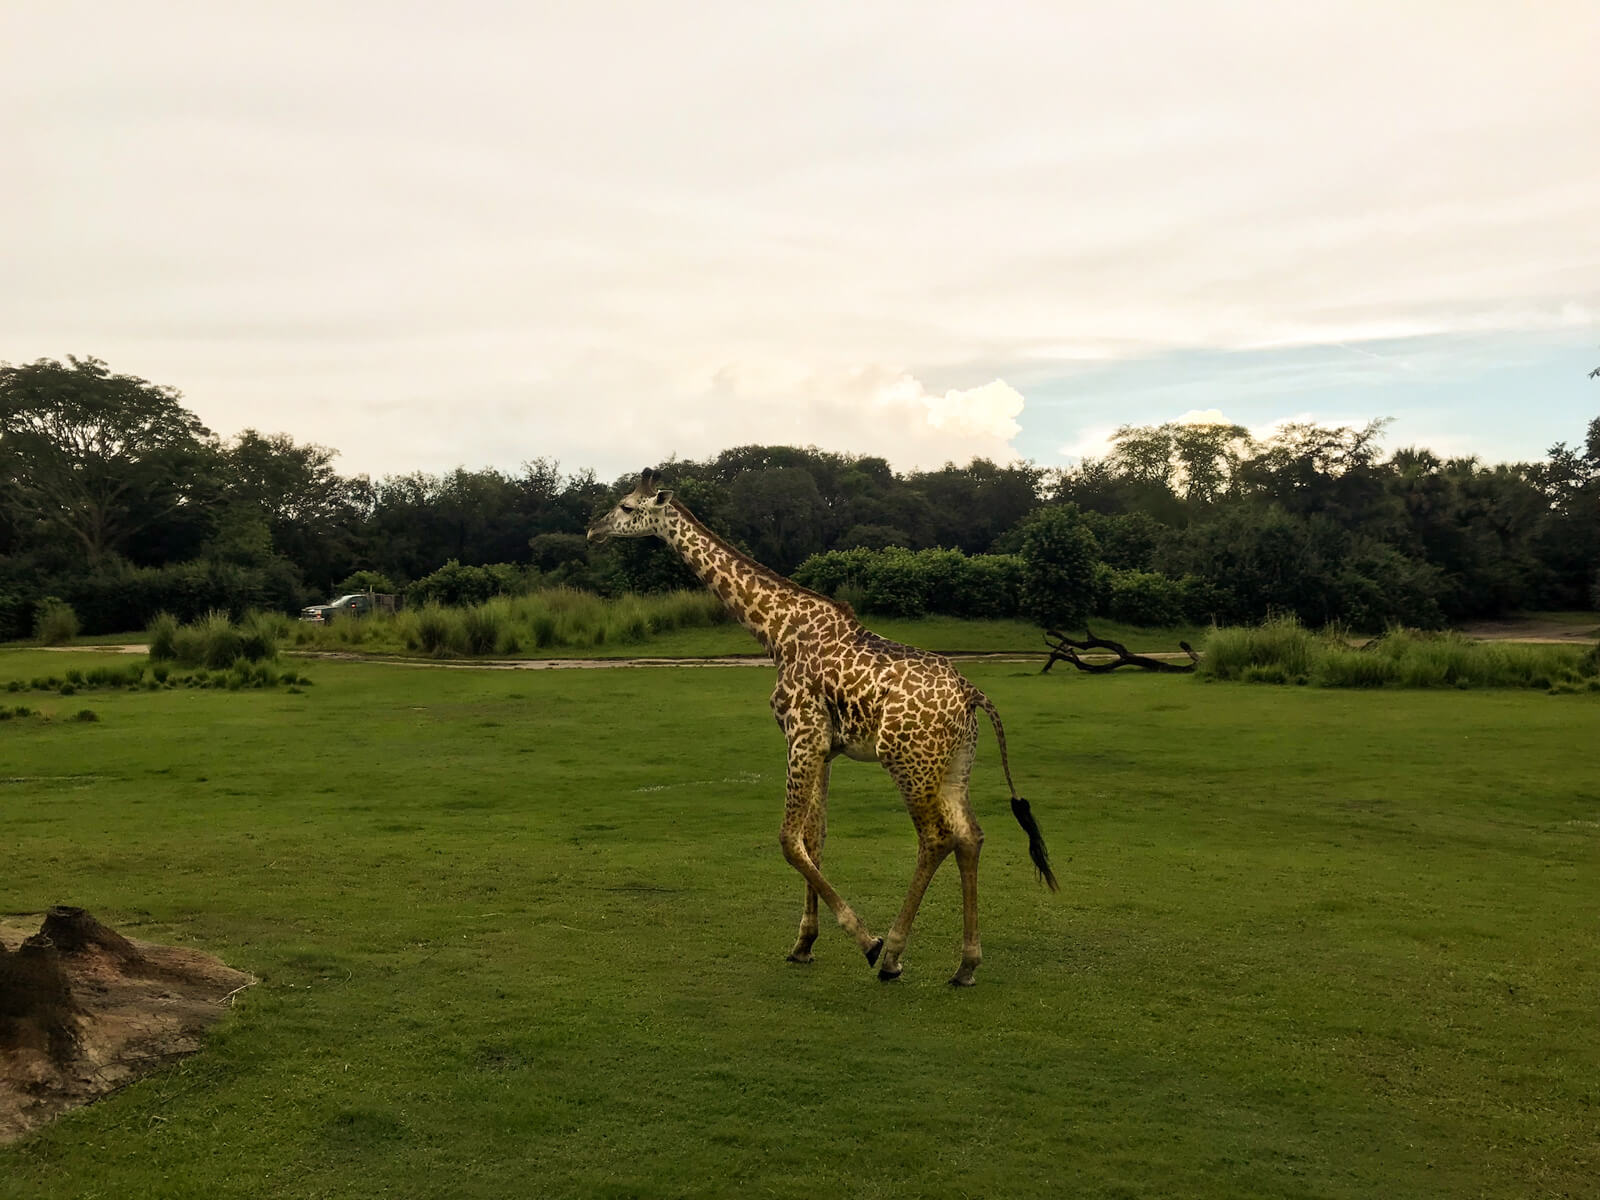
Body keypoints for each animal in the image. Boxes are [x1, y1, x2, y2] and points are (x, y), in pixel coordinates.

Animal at [582, 470, 1056, 985]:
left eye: (627, 507)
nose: (593, 531)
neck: (776, 631)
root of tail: (972, 695)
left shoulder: (801, 734)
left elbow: (789, 841)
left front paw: (865, 941)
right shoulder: (824, 746)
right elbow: (815, 838)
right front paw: (804, 944)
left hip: (909, 762)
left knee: (935, 839)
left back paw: (892, 955)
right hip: (953, 766)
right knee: (971, 836)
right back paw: (966, 966)